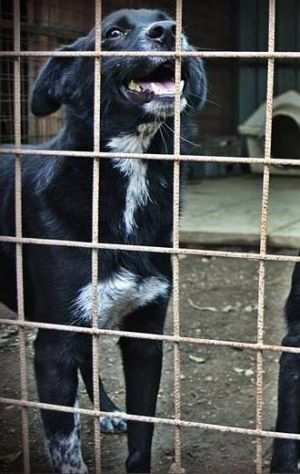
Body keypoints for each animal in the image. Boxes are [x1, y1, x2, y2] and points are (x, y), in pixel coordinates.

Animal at [0, 8, 206, 474]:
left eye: (172, 21)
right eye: (113, 32)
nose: (168, 32)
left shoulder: (146, 335)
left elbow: (142, 438)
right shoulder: (54, 345)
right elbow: (67, 447)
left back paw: (108, 411)